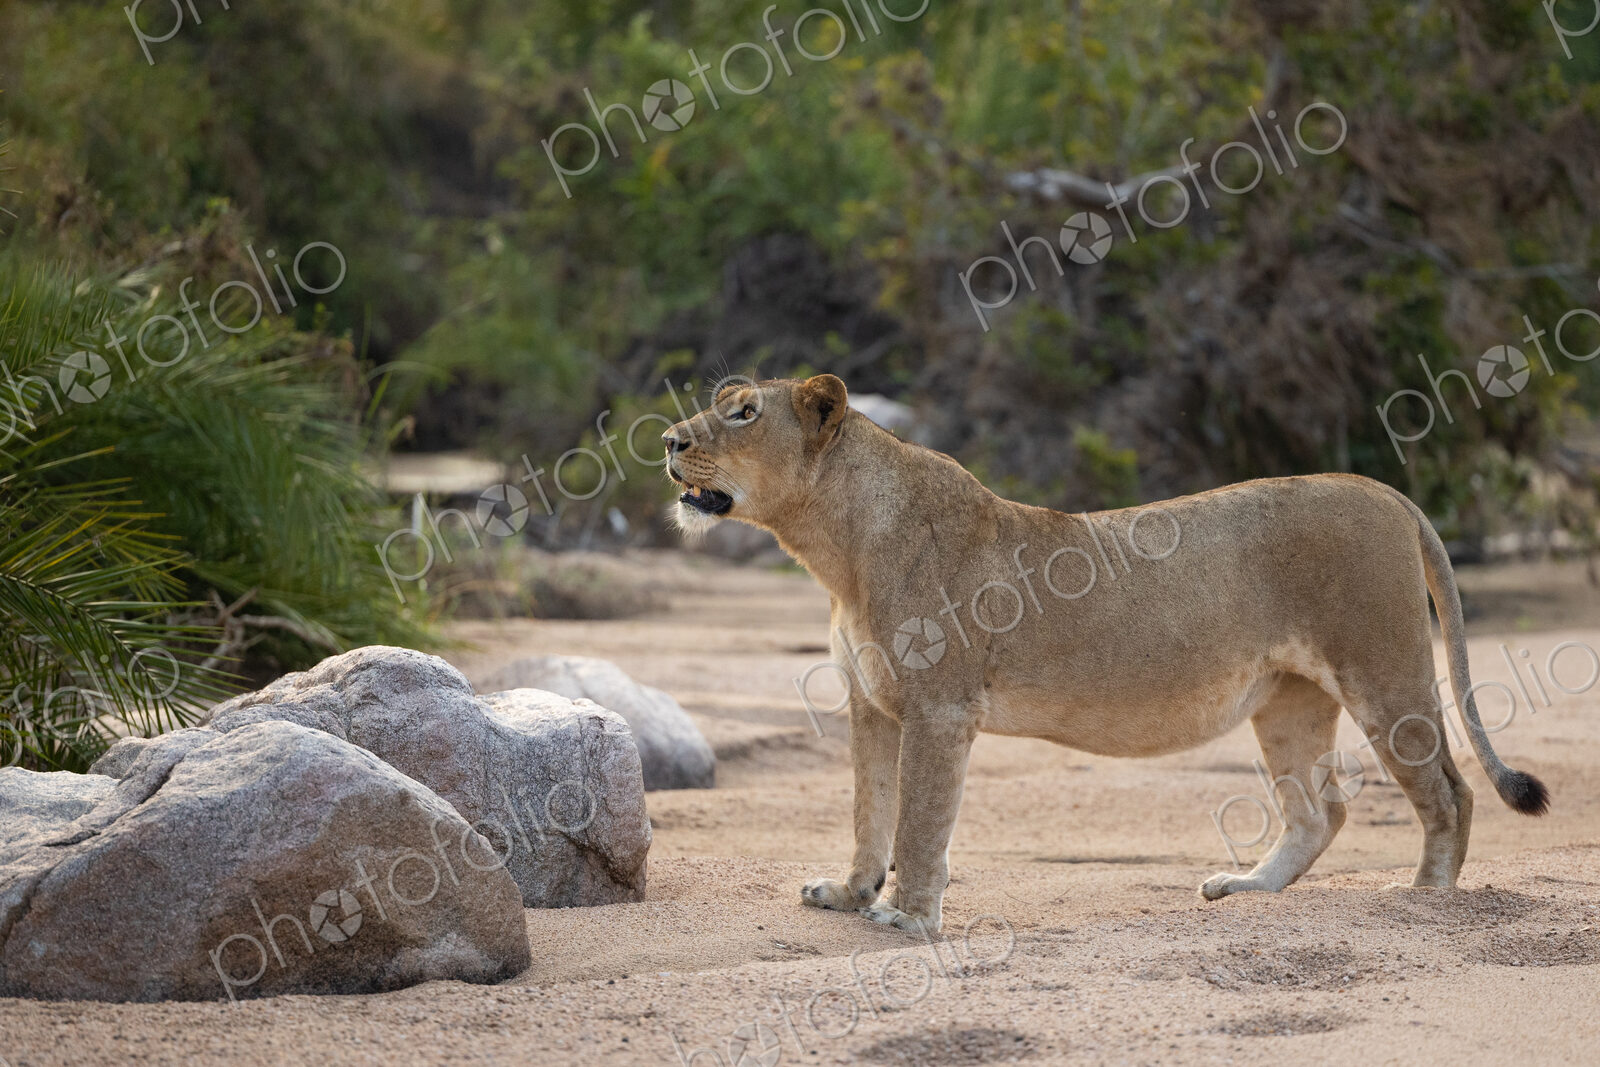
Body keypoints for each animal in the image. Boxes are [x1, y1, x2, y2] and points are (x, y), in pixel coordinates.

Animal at [662, 373, 1549, 935]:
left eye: (742, 413)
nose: (668, 440)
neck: (836, 547)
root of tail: (1385, 491)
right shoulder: (872, 704)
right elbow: (867, 811)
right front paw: (848, 893)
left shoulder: (938, 709)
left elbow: (917, 820)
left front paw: (906, 916)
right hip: (1288, 699)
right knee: (1319, 809)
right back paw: (1247, 888)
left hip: (1383, 673)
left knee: (1450, 793)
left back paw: (1422, 900)